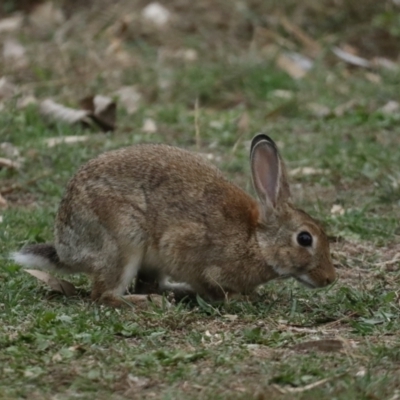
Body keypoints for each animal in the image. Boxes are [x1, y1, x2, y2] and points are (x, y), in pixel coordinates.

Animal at [12, 134, 336, 306]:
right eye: (304, 238)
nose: (330, 279)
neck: (256, 241)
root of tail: (67, 248)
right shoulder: (187, 250)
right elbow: (212, 283)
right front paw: (240, 298)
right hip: (124, 240)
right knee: (105, 294)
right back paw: (147, 302)